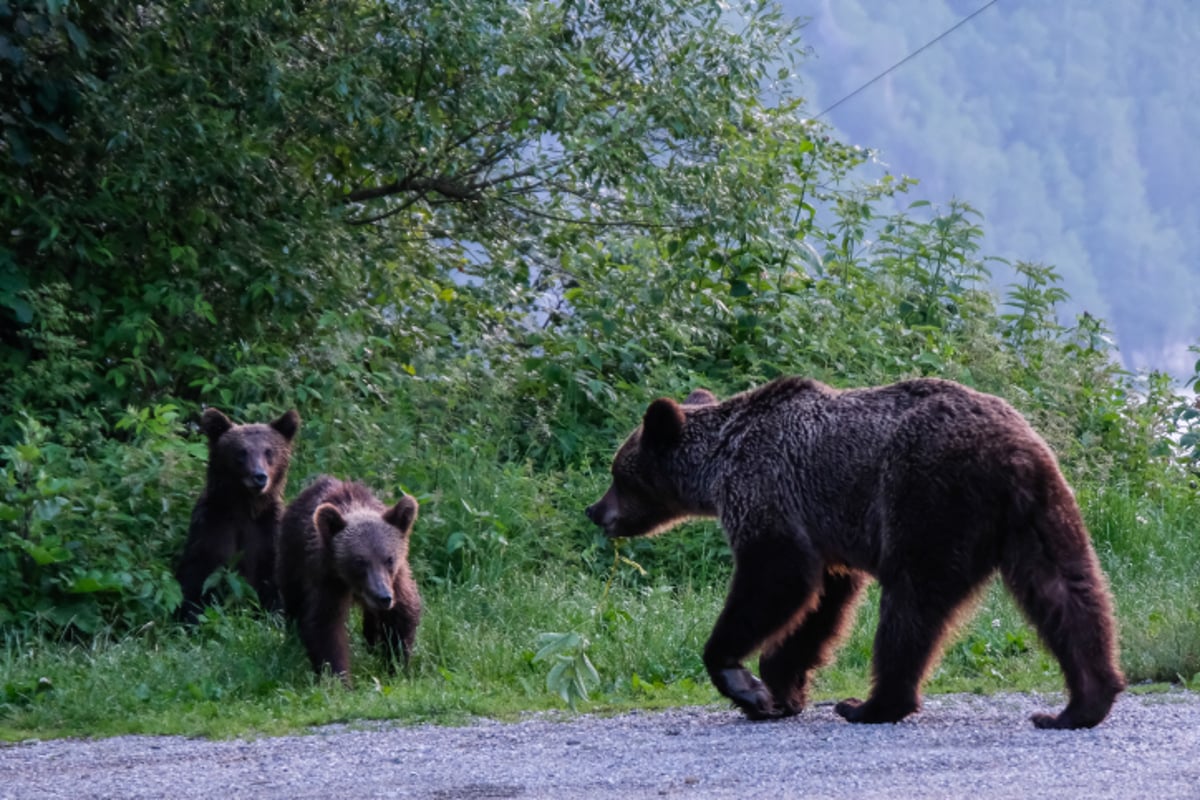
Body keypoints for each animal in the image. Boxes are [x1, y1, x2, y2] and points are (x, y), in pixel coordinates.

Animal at [174, 407, 300, 623]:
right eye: (241, 452)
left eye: (269, 452)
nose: (259, 477)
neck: (245, 506)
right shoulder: (213, 524)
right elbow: (197, 575)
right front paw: (191, 616)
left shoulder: (270, 531)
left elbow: (275, 579)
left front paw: (276, 617)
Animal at [276, 474, 422, 690]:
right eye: (359, 561)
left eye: (389, 559)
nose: (383, 597)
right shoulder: (327, 579)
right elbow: (325, 624)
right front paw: (339, 679)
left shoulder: (397, 579)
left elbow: (402, 614)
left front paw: (395, 666)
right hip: (291, 557)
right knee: (293, 599)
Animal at [588, 379, 1123, 729]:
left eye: (618, 472)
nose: (596, 511)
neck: (719, 465)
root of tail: (1009, 453)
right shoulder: (823, 533)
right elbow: (823, 604)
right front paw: (782, 687)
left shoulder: (767, 492)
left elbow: (775, 578)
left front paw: (748, 686)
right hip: (1040, 511)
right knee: (1068, 591)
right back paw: (1079, 705)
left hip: (925, 500)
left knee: (910, 606)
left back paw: (872, 705)